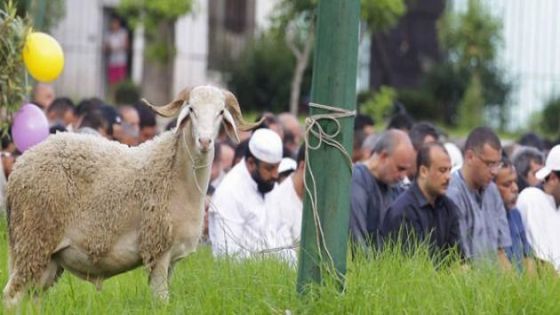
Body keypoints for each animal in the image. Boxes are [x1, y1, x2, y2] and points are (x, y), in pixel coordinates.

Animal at [1, 85, 256, 308]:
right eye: (191, 109)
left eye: (221, 112)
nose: (204, 141)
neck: (177, 174)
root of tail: (20, 165)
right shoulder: (157, 248)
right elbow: (161, 301)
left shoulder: (172, 259)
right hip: (33, 237)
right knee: (11, 297)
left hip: (47, 257)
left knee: (33, 297)